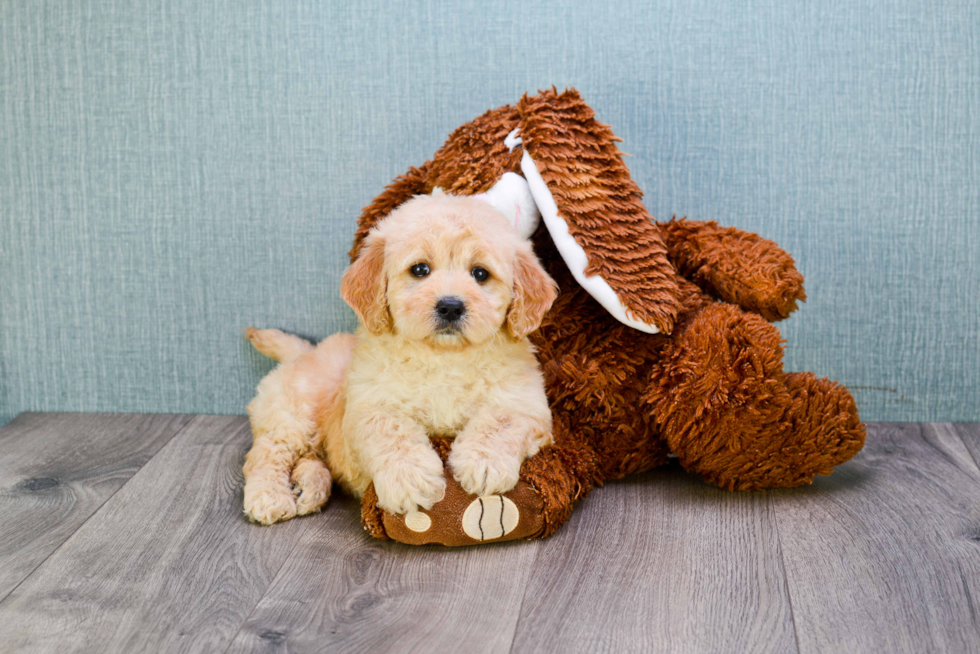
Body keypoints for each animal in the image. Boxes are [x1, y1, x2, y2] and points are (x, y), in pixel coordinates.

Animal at [240, 192, 556, 524]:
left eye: (480, 273)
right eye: (419, 270)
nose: (450, 306)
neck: (445, 358)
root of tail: (306, 351)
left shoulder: (526, 402)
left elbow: (501, 421)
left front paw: (483, 463)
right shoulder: (369, 404)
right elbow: (392, 430)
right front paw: (410, 479)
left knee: (311, 457)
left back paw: (310, 487)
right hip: (293, 415)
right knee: (265, 453)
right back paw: (269, 497)